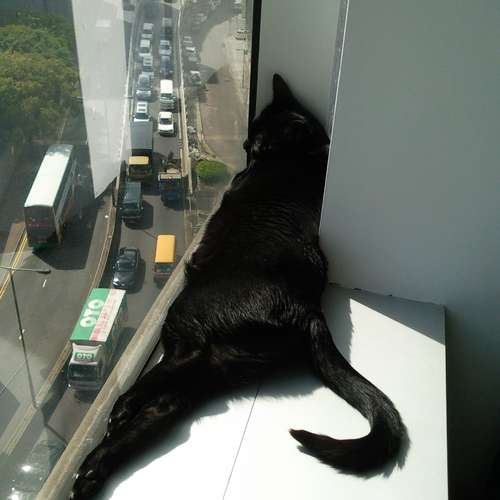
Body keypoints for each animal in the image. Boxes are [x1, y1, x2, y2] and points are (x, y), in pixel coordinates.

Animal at [70, 74, 406, 499]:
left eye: (259, 138)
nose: (247, 146)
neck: (301, 157)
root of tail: (307, 310)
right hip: (216, 367)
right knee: (164, 409)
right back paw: (93, 470)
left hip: (186, 320)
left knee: (173, 371)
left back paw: (121, 408)